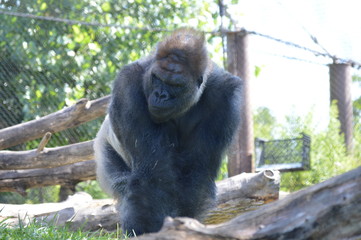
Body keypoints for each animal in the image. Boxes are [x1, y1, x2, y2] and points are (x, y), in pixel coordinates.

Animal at [94, 27, 243, 235]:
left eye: (175, 85)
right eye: (157, 79)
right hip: (103, 154)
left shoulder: (225, 97)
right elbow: (152, 174)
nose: (160, 95)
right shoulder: (128, 82)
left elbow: (197, 173)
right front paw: (146, 231)